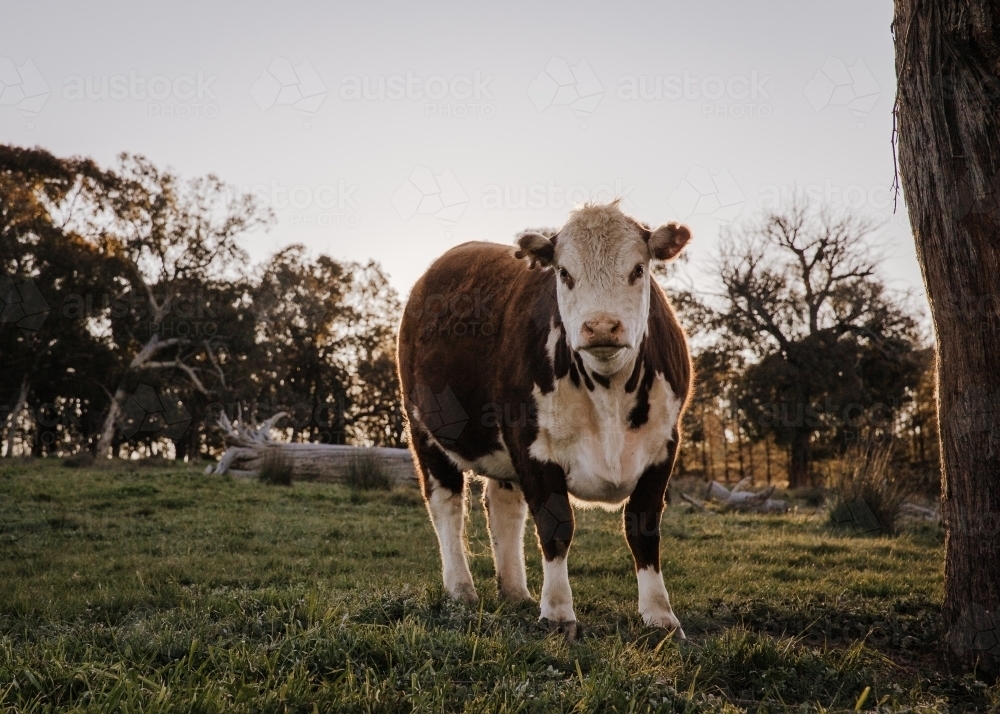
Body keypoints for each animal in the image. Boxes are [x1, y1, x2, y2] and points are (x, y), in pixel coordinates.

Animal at [394, 199, 692, 636]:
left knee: (504, 507)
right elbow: (556, 526)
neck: (609, 391)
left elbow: (643, 529)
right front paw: (557, 612)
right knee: (447, 506)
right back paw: (461, 590)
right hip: (425, 430)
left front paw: (660, 616)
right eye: (564, 273)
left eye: (638, 269)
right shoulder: (531, 445)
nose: (601, 326)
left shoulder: (663, 447)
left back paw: (515, 591)